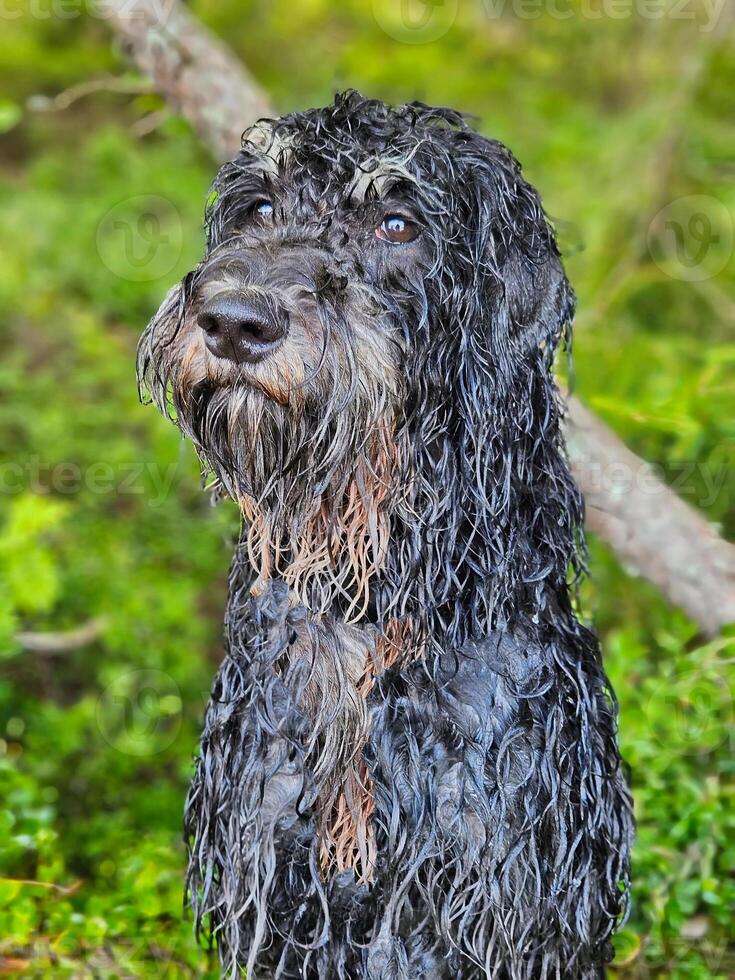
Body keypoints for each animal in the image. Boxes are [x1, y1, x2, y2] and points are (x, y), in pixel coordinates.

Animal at [138, 90, 632, 972]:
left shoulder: (492, 887)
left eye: (396, 225)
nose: (234, 321)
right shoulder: (270, 862)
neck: (369, 602)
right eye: (259, 208)